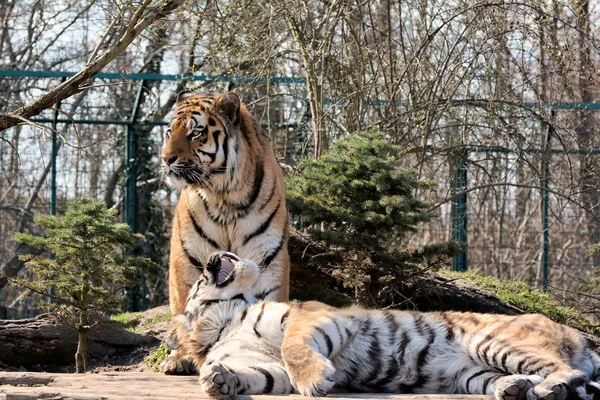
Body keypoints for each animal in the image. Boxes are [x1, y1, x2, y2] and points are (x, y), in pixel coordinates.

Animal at [161, 92, 290, 374]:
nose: (166, 159)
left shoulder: (267, 256)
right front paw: (182, 358)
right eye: (169, 132)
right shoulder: (187, 256)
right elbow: (185, 307)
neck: (224, 196)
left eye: (195, 133)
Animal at [172, 252, 600, 400]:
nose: (213, 257)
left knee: (564, 370)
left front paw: (315, 381)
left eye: (198, 278)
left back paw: (549, 389)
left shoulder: (309, 316)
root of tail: (579, 337)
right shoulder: (266, 364)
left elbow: (294, 349)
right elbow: (258, 375)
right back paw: (514, 388)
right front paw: (220, 379)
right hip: (471, 374)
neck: (227, 321)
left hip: (494, 342)